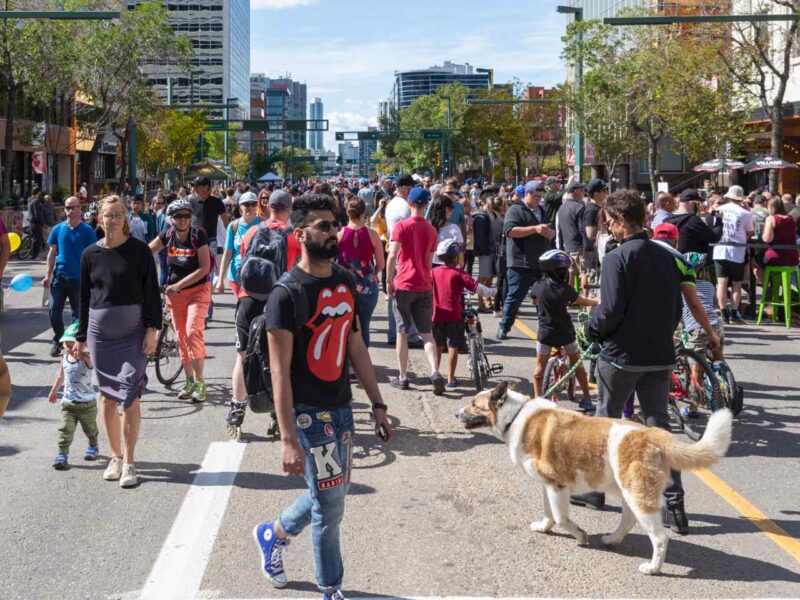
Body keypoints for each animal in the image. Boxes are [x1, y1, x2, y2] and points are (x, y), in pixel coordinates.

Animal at [472, 382, 736, 576]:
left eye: (474, 404)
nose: (461, 411)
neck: (516, 416)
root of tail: (655, 434)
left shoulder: (556, 486)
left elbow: (561, 517)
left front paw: (580, 535)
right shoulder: (548, 485)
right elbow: (549, 514)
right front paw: (544, 527)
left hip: (639, 496)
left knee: (660, 537)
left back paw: (653, 567)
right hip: (627, 492)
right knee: (628, 520)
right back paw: (612, 540)